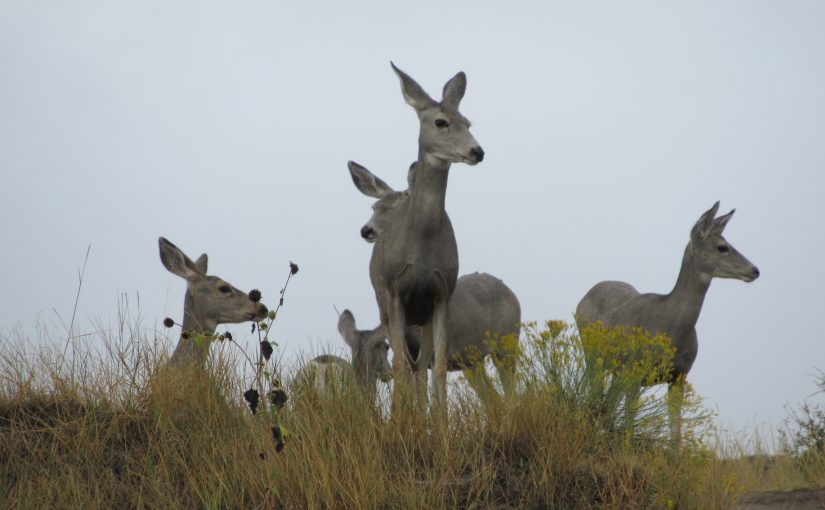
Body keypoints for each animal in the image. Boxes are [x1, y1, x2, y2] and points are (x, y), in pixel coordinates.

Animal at [358, 62, 486, 422]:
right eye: (441, 122)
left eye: (468, 122)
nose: (477, 151)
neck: (422, 247)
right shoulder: (395, 294)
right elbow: (400, 366)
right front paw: (401, 426)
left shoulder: (441, 293)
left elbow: (438, 368)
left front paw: (440, 428)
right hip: (385, 306)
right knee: (405, 365)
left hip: (422, 316)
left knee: (421, 367)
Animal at [572, 201, 760, 444]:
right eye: (722, 247)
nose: (755, 270)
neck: (670, 326)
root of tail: (585, 296)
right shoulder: (635, 372)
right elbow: (629, 424)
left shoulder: (680, 376)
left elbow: (676, 433)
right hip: (592, 354)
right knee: (595, 397)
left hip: (617, 369)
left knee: (608, 404)